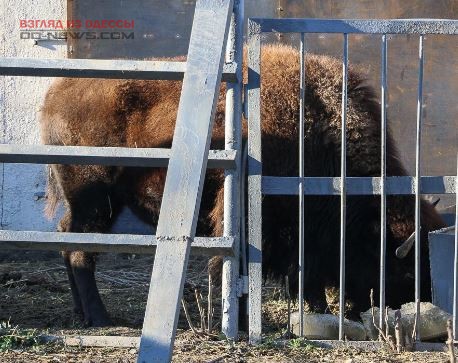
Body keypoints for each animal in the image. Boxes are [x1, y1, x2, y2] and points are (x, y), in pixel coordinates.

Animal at [41, 44, 446, 328]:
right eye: (407, 272)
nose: (423, 305)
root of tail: (57, 91)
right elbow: (240, 268)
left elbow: (304, 274)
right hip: (96, 200)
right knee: (81, 253)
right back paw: (99, 317)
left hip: (91, 206)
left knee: (66, 239)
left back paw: (82, 313)